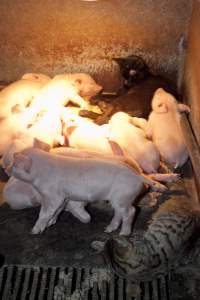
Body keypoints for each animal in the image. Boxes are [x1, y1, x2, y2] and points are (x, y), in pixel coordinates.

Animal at [8, 148, 166, 237]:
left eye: (15, 164)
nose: (6, 169)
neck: (40, 172)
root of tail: (137, 174)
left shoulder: (53, 195)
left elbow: (45, 212)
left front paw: (34, 231)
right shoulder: (63, 197)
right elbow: (57, 211)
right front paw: (51, 223)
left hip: (122, 196)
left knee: (131, 211)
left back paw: (123, 234)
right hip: (120, 199)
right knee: (119, 213)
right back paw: (108, 230)